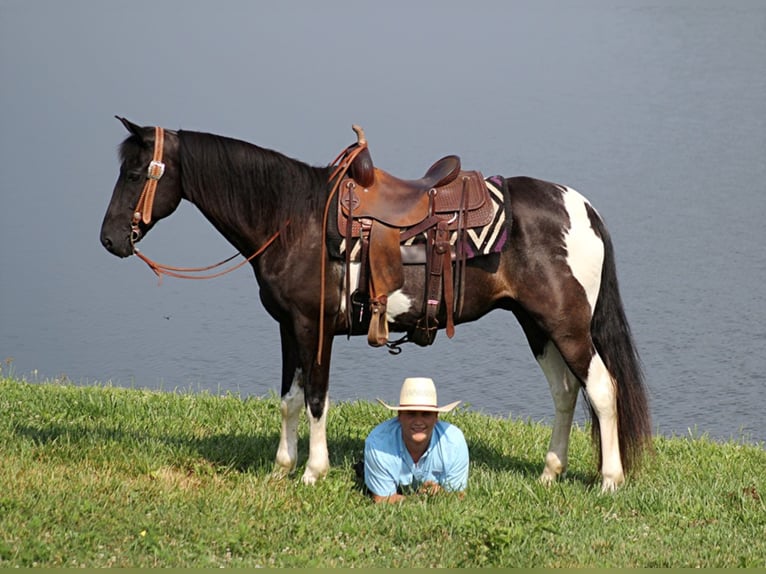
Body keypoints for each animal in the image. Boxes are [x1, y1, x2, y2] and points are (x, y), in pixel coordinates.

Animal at [100, 118, 656, 496]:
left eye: (135, 173)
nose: (109, 239)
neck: (293, 217)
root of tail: (583, 208)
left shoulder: (314, 326)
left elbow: (317, 397)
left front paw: (312, 472)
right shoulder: (287, 327)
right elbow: (289, 399)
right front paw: (282, 467)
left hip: (567, 325)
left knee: (601, 389)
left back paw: (609, 480)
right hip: (536, 324)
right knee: (565, 393)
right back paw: (549, 473)